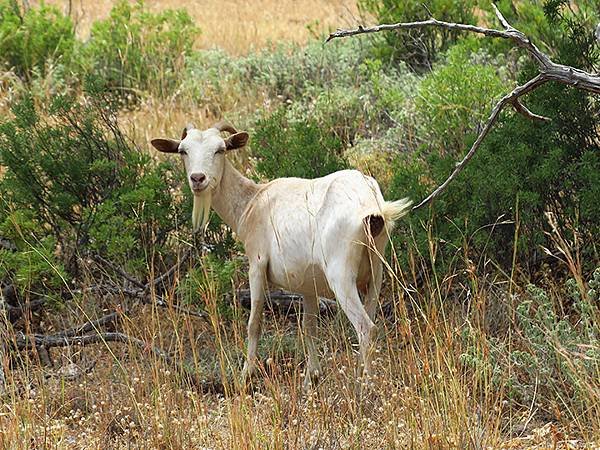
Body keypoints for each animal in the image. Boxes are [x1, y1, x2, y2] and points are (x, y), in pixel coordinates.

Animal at [152, 122, 410, 386]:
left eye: (220, 149)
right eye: (183, 151)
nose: (198, 178)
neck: (250, 203)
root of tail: (371, 207)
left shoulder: (256, 264)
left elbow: (254, 323)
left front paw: (246, 375)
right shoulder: (308, 283)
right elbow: (309, 326)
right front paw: (311, 377)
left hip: (341, 274)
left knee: (365, 326)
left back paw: (365, 384)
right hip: (377, 270)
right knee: (371, 316)